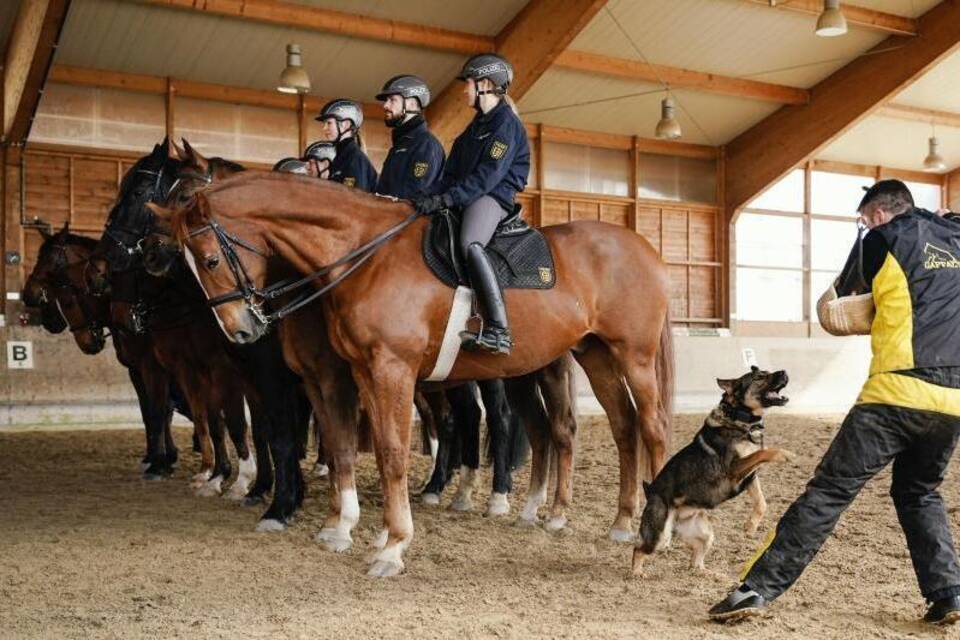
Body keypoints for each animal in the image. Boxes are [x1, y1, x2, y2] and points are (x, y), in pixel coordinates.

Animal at [163, 171, 676, 576]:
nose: (241, 330)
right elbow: (357, 447)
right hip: (595, 356)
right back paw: (613, 521)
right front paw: (350, 529)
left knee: (650, 429)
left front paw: (392, 547)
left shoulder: (387, 370)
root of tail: (643, 248)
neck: (364, 254)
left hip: (632, 356)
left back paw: (658, 534)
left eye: (209, 259)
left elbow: (391, 453)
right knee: (620, 428)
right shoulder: (361, 373)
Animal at [632, 368, 792, 572]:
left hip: (704, 535)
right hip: (659, 536)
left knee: (695, 559)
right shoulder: (734, 469)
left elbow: (761, 502)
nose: (784, 372)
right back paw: (637, 573)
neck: (739, 419)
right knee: (638, 550)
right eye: (759, 377)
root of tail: (650, 492)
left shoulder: (750, 476)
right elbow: (765, 452)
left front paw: (750, 527)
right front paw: (784, 454)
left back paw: (706, 574)